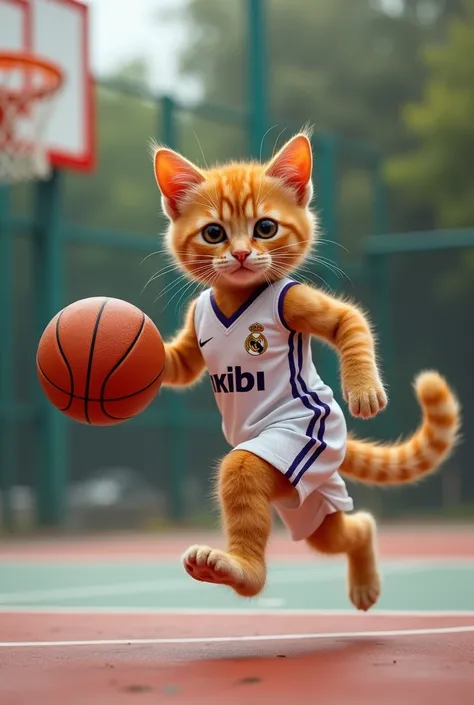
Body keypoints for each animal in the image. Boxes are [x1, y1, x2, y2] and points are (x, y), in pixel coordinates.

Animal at [152, 133, 460, 612]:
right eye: (214, 233)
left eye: (265, 228)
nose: (241, 254)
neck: (235, 296)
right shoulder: (194, 320)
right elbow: (181, 364)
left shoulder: (294, 301)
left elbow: (351, 323)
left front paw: (364, 389)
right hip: (309, 505)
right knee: (349, 529)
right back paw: (362, 571)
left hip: (301, 452)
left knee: (247, 475)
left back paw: (241, 571)